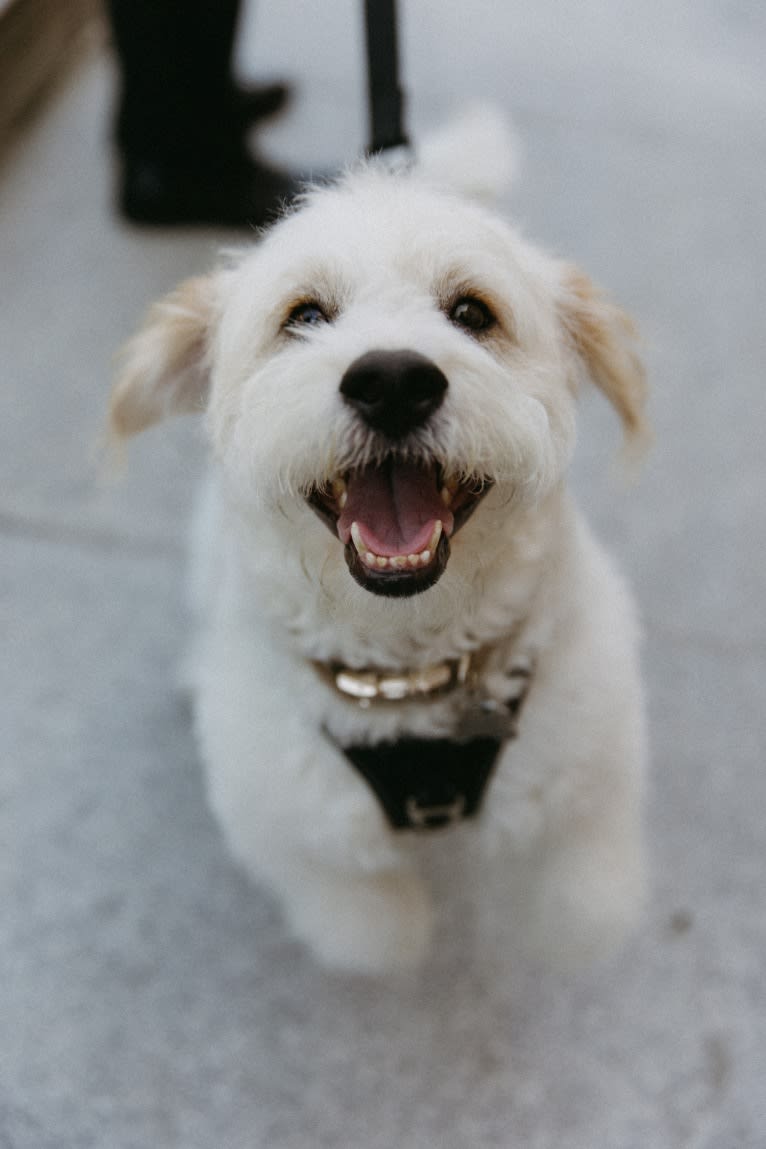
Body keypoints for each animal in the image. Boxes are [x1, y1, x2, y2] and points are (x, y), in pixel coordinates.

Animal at [110, 118, 652, 969]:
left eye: (472, 311)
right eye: (304, 315)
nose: (393, 380)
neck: (410, 675)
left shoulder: (587, 770)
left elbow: (582, 898)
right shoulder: (296, 821)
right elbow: (366, 917)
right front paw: (392, 934)